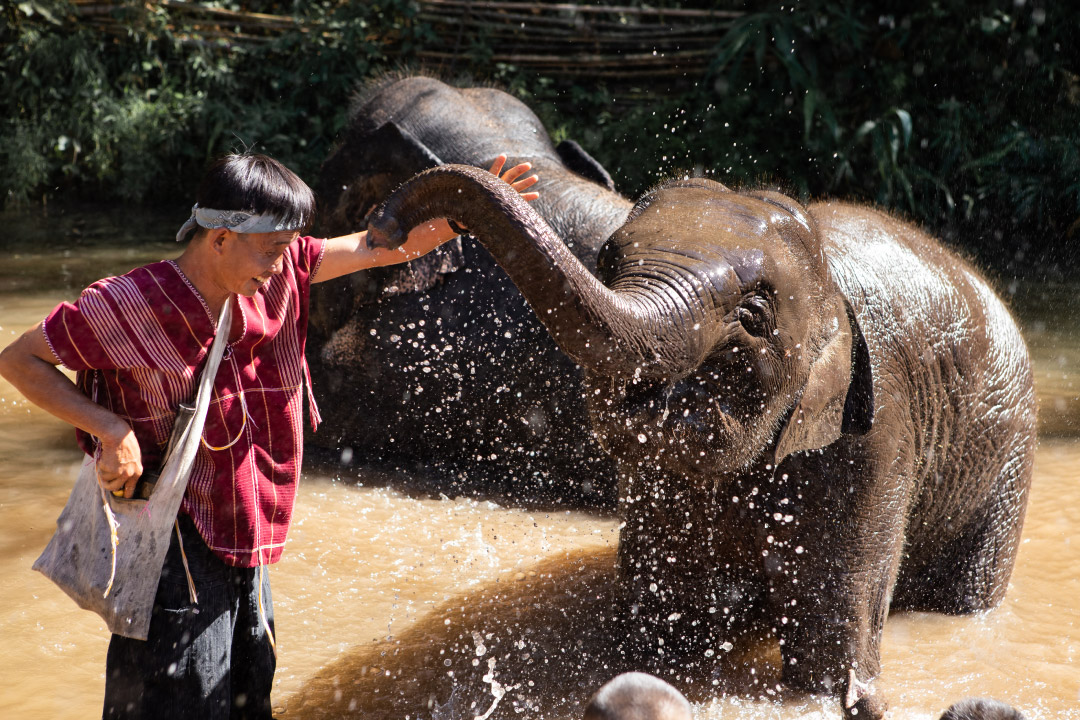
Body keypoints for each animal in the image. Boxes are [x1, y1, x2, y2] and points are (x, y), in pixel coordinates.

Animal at [369, 165, 1036, 720]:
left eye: (754, 316)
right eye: (606, 259)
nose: (384, 225)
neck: (823, 264)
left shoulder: (878, 428)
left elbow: (825, 640)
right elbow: (674, 611)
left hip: (1005, 467)